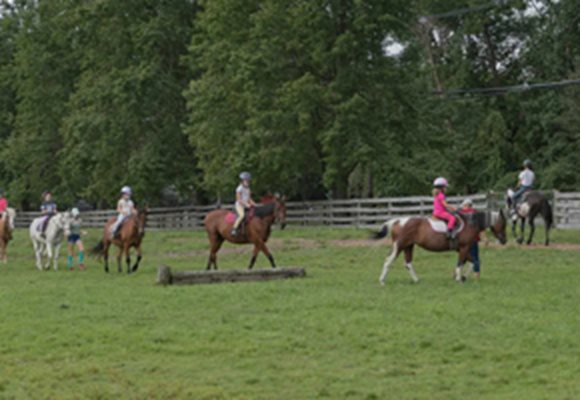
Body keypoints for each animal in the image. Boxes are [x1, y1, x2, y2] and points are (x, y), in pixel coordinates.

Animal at [374, 211, 506, 286]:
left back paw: (416, 280)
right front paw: (459, 278)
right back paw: (382, 281)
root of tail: (397, 221)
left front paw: (462, 277)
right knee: (389, 260)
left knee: (408, 263)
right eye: (503, 224)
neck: (470, 224)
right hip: (400, 245)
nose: (504, 240)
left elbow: (473, 262)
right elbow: (461, 263)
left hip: (408, 246)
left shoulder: (463, 249)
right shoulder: (464, 248)